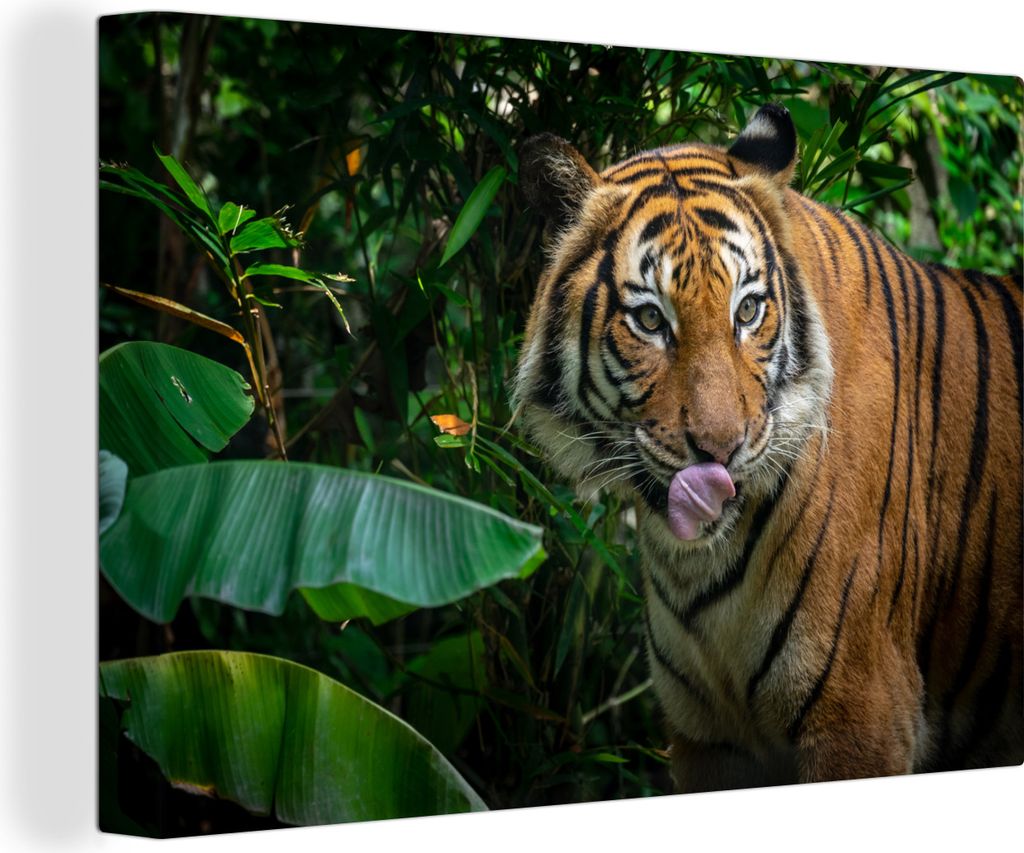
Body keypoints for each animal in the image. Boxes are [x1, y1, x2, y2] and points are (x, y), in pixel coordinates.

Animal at [511, 103, 1023, 792]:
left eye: (748, 310)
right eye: (650, 321)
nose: (719, 450)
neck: (695, 570)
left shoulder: (861, 715)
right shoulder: (706, 738)